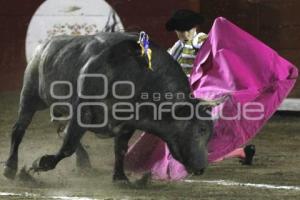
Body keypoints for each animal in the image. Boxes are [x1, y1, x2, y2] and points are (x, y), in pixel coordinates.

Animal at [2, 31, 220, 181]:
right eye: (201, 129)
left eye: (210, 132)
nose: (202, 167)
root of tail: (44, 45)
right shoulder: (82, 111)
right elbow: (68, 145)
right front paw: (41, 163)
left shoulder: (127, 124)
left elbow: (120, 149)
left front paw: (120, 177)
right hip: (30, 97)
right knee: (19, 129)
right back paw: (10, 168)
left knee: (61, 130)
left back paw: (84, 163)